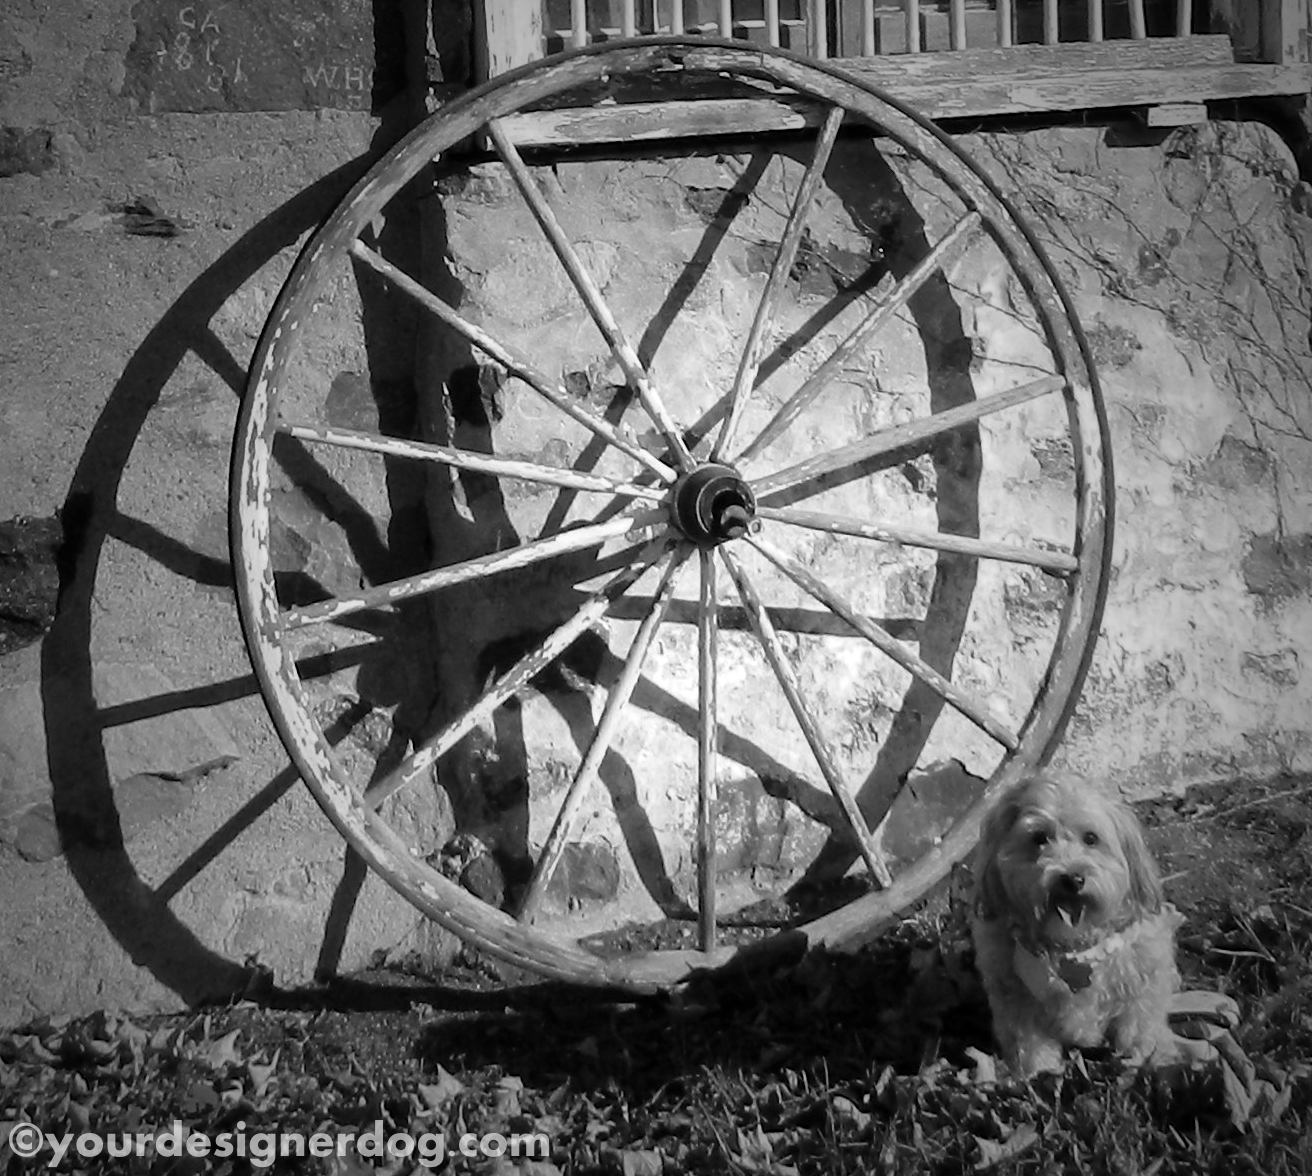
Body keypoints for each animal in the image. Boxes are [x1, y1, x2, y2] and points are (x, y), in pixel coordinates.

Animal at [976, 771, 1180, 1076]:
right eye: (1039, 838)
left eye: (1091, 838)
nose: (1072, 879)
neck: (1072, 946)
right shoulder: (1015, 998)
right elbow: (1031, 1045)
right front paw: (1039, 1075)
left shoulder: (1141, 986)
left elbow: (1139, 1029)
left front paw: (1144, 1062)